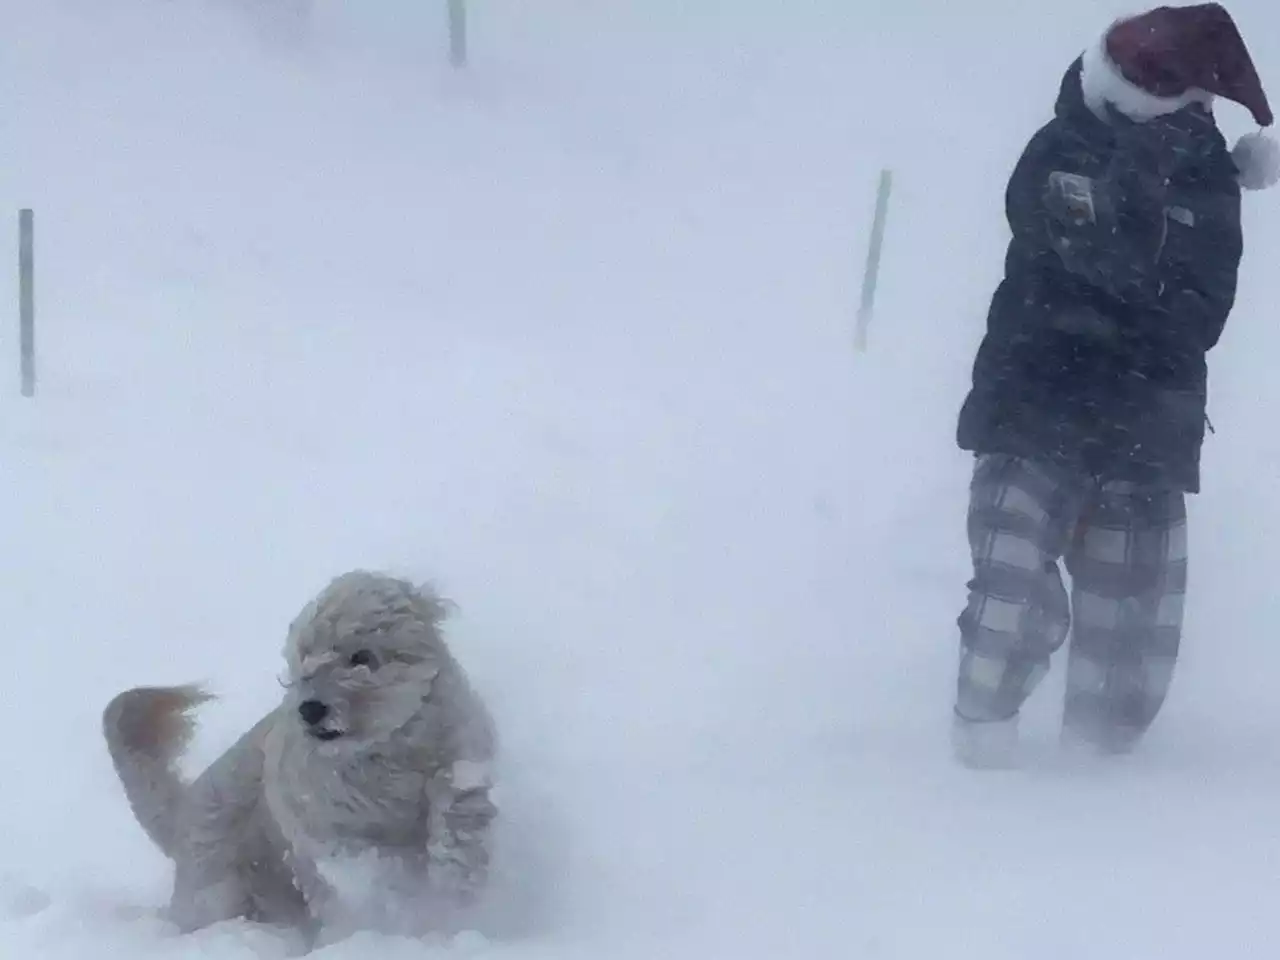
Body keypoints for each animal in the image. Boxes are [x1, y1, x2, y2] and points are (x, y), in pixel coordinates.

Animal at [99, 576, 496, 942]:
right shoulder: (323, 825)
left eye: (362, 657)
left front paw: (455, 868)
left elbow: (456, 802)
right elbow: (364, 860)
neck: (381, 752)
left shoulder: (460, 754)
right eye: (303, 661)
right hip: (220, 892)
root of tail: (182, 818)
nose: (311, 709)